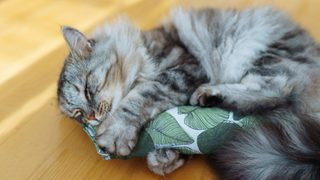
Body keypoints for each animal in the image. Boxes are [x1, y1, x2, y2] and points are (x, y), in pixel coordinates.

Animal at [57, 6, 320, 180]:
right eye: (78, 115)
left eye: (87, 90)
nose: (91, 117)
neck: (140, 47)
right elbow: (184, 146)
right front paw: (166, 158)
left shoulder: (183, 68)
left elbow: (142, 97)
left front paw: (115, 133)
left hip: (266, 54)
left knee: (276, 93)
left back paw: (208, 93)